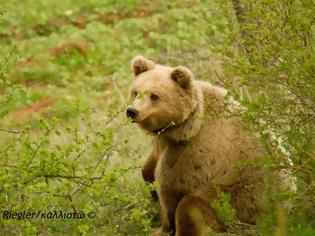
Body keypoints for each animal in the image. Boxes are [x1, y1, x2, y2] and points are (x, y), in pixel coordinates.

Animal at [126, 55, 278, 236]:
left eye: (154, 96)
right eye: (136, 91)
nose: (132, 111)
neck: (183, 127)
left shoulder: (195, 151)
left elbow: (170, 187)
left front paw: (162, 227)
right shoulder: (164, 142)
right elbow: (149, 168)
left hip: (237, 196)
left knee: (191, 205)